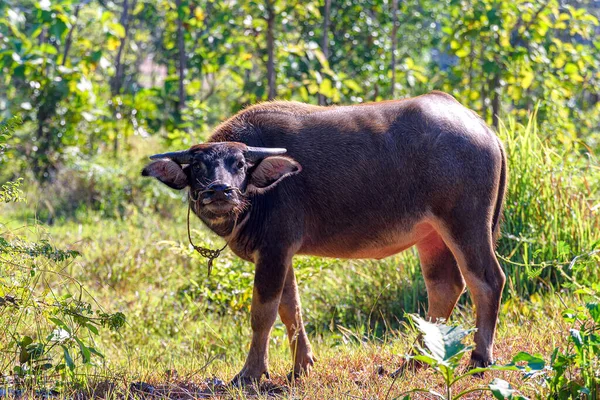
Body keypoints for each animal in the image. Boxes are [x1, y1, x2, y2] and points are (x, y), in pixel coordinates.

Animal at [144, 91, 506, 384]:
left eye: (240, 164)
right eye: (199, 167)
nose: (220, 191)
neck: (259, 194)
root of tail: (483, 129)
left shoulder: (274, 249)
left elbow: (263, 312)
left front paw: (250, 373)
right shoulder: (281, 253)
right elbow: (290, 308)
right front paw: (301, 365)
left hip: (465, 222)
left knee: (486, 280)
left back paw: (479, 360)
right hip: (431, 235)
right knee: (445, 287)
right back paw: (413, 363)